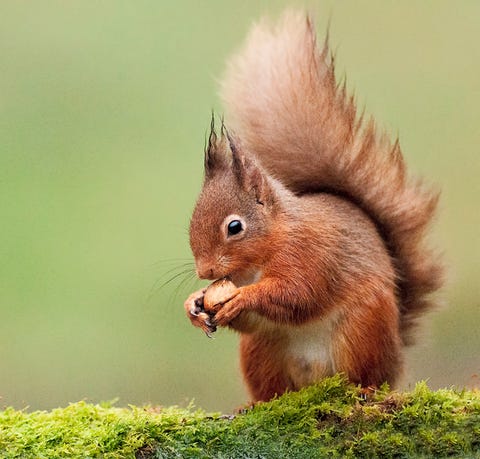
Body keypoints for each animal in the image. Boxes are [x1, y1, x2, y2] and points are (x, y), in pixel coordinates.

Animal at [183, 10, 442, 402]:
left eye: (234, 227)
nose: (205, 271)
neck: (269, 247)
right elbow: (253, 319)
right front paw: (195, 304)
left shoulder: (311, 254)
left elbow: (297, 294)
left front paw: (242, 298)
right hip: (261, 351)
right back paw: (255, 405)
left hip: (364, 327)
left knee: (365, 374)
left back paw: (366, 390)